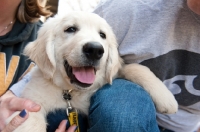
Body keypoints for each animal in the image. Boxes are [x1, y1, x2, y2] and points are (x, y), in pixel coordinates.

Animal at [7, 11, 177, 131]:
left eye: (102, 35)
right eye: (70, 29)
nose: (95, 50)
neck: (71, 92)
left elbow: (135, 67)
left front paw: (166, 98)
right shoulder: (31, 101)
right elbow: (31, 121)